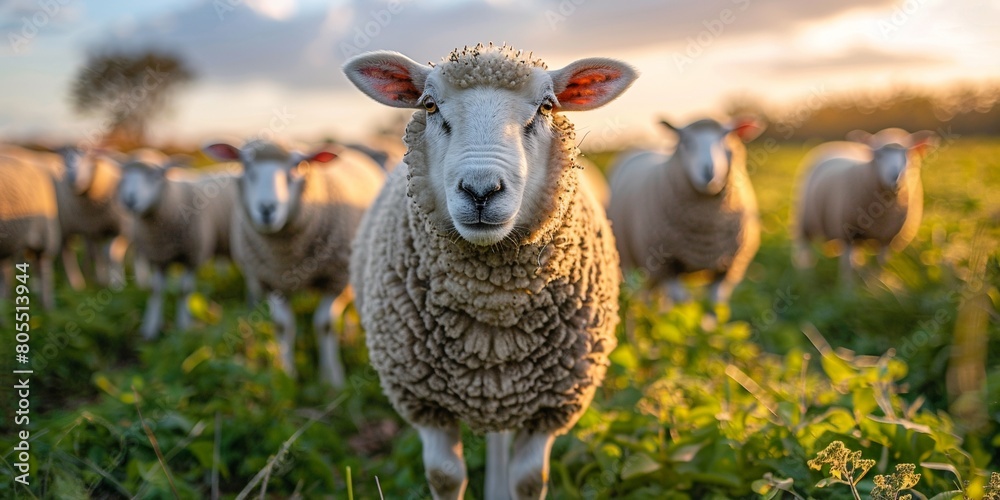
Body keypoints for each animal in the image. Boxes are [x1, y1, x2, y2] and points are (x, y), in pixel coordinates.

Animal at [117, 150, 238, 339]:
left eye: (155, 176)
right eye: (123, 176)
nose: (129, 200)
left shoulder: (193, 256)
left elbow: (184, 290)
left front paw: (183, 326)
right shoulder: (158, 256)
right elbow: (155, 291)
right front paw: (150, 328)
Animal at [202, 139, 385, 388]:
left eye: (296, 166)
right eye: (247, 167)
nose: (267, 209)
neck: (286, 257)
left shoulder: (334, 278)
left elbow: (325, 325)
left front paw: (331, 379)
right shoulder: (271, 281)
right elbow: (282, 325)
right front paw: (285, 373)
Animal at [344, 43, 636, 499]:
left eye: (546, 106)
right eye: (430, 105)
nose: (481, 191)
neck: (491, 305)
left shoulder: (551, 406)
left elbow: (530, 480)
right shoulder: (425, 403)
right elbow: (445, 476)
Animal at [607, 117, 764, 322]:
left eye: (726, 138)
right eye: (687, 142)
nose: (709, 172)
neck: (706, 230)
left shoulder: (728, 267)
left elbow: (714, 307)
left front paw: (708, 329)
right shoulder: (667, 264)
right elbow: (683, 304)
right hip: (629, 257)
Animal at [792, 128, 938, 282]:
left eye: (907, 153)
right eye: (878, 155)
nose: (895, 177)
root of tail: (834, 144)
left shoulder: (887, 238)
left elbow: (881, 264)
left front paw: (879, 284)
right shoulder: (847, 233)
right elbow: (846, 268)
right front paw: (847, 288)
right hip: (805, 221)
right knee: (805, 252)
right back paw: (805, 279)